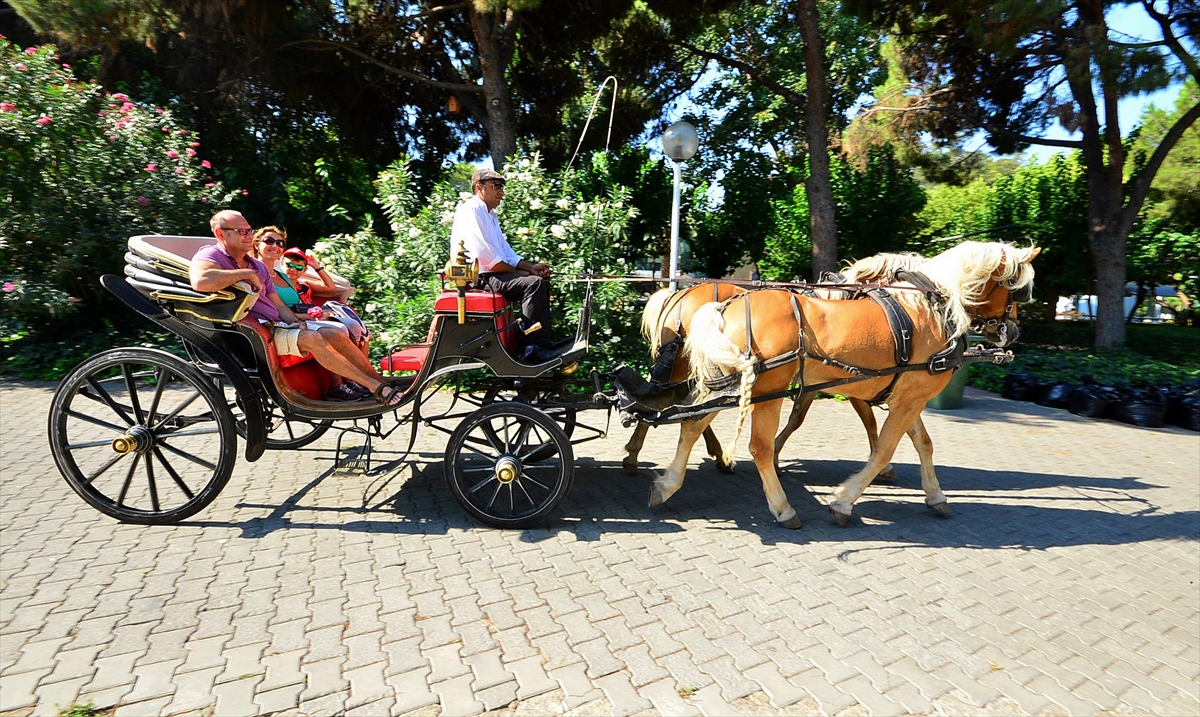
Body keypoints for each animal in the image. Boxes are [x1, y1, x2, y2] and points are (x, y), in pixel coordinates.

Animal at [676, 242, 1041, 527]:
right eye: (1016, 287)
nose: (1013, 331)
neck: (930, 307)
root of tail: (726, 306)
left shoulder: (907, 394)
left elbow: (923, 443)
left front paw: (936, 495)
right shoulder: (906, 398)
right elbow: (882, 448)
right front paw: (843, 502)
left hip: (728, 384)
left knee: (692, 424)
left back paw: (671, 483)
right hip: (765, 390)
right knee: (757, 447)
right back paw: (781, 507)